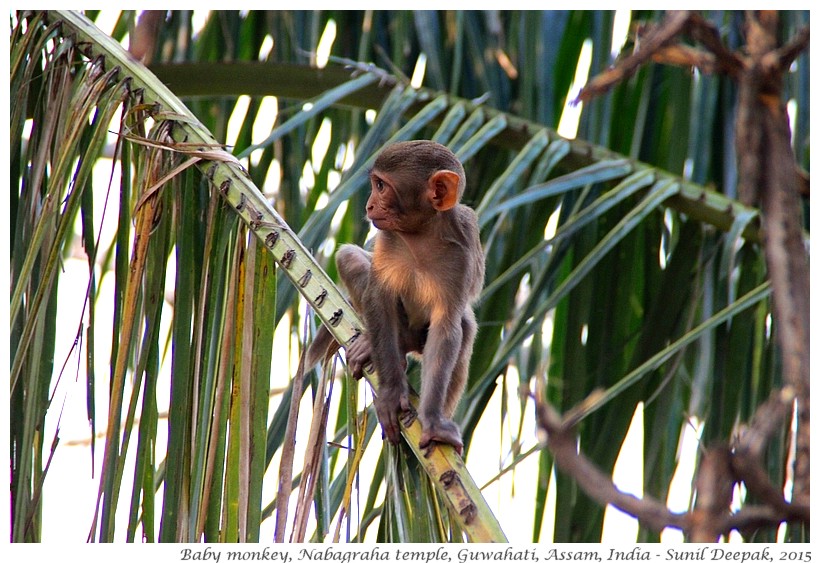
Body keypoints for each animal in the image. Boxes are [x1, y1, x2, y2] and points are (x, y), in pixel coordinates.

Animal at [310, 140, 484, 454]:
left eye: (381, 186)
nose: (369, 205)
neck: (420, 237)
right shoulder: (387, 239)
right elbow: (380, 298)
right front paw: (391, 394)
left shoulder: (460, 257)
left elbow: (447, 327)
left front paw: (433, 420)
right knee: (349, 257)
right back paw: (380, 343)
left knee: (465, 329)